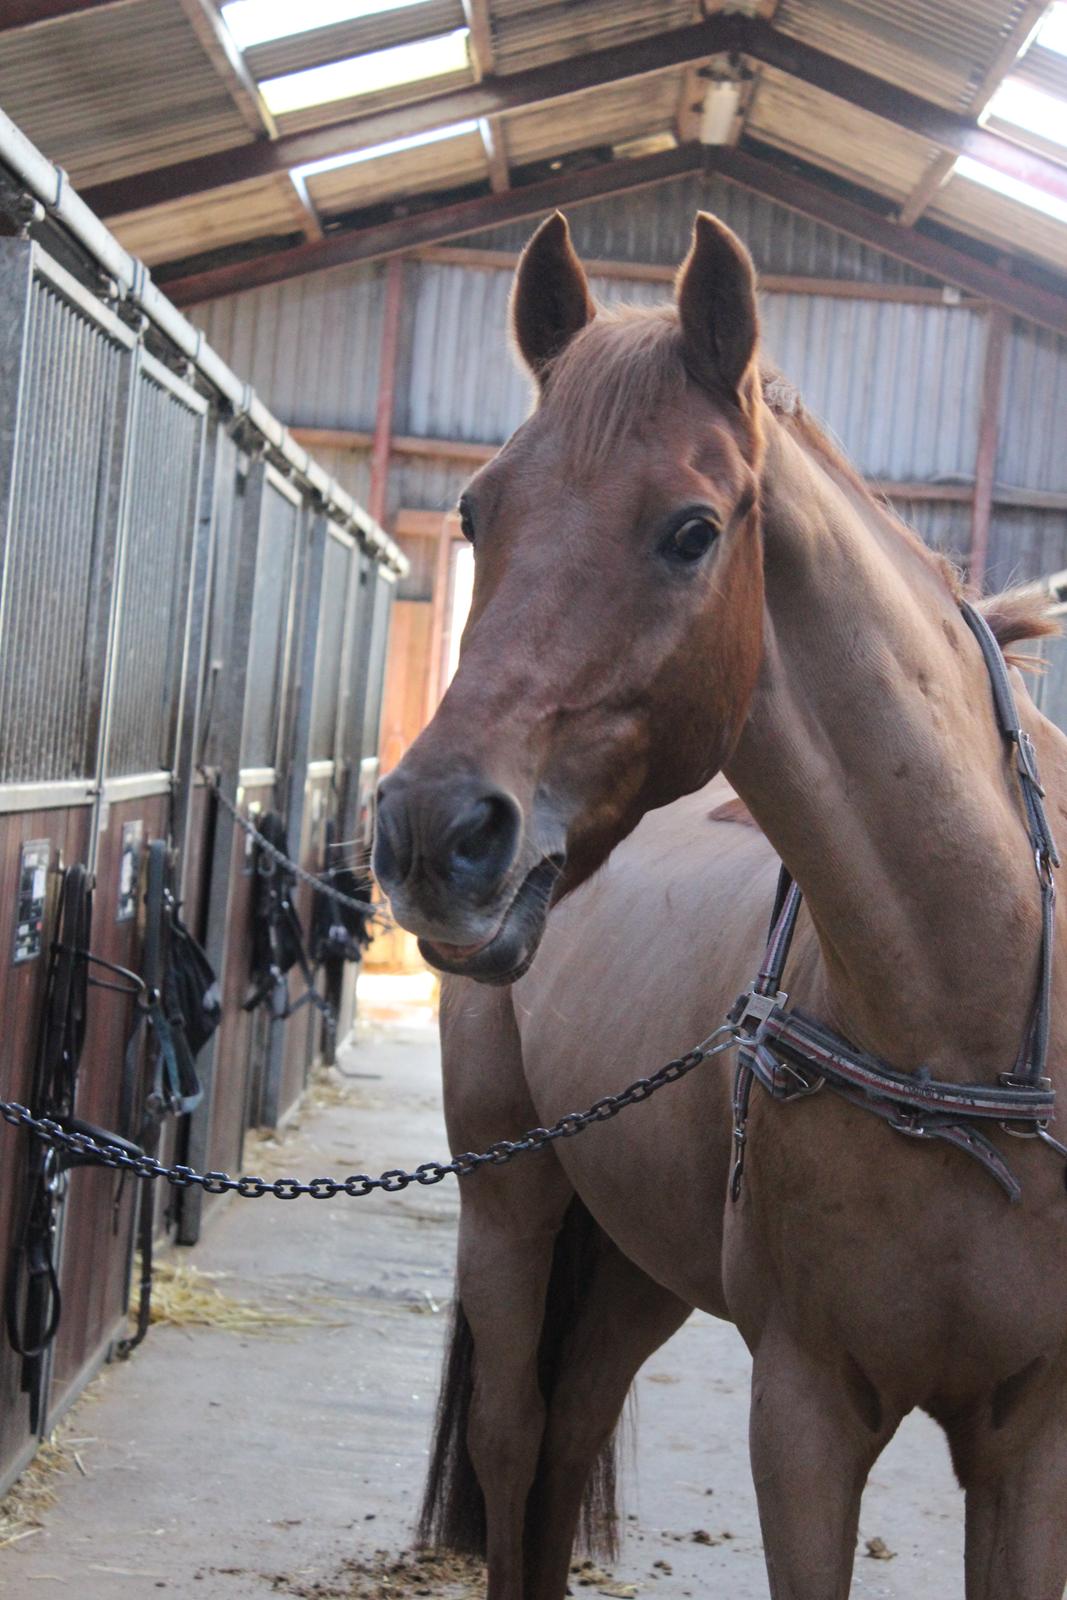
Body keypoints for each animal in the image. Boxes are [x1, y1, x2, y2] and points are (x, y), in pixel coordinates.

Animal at [374, 216, 1067, 1600]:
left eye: (692, 531)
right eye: (476, 511)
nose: (433, 830)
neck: (970, 1035)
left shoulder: (1029, 1437)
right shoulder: (802, 1415)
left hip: (636, 1259)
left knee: (569, 1433)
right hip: (510, 1205)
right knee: (518, 1440)